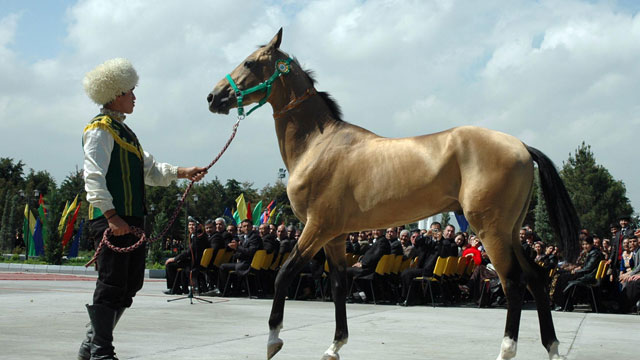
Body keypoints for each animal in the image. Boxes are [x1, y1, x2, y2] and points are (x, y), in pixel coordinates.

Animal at [206, 28, 580, 360]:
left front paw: (273, 340)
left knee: (513, 283)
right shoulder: (335, 235)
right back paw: (552, 348)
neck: (319, 144)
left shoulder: (316, 228)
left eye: (250, 62)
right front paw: (334, 346)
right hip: (511, 231)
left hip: (491, 231)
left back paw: (506, 351)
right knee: (535, 279)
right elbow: (339, 284)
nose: (213, 97)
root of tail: (521, 146)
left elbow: (285, 274)